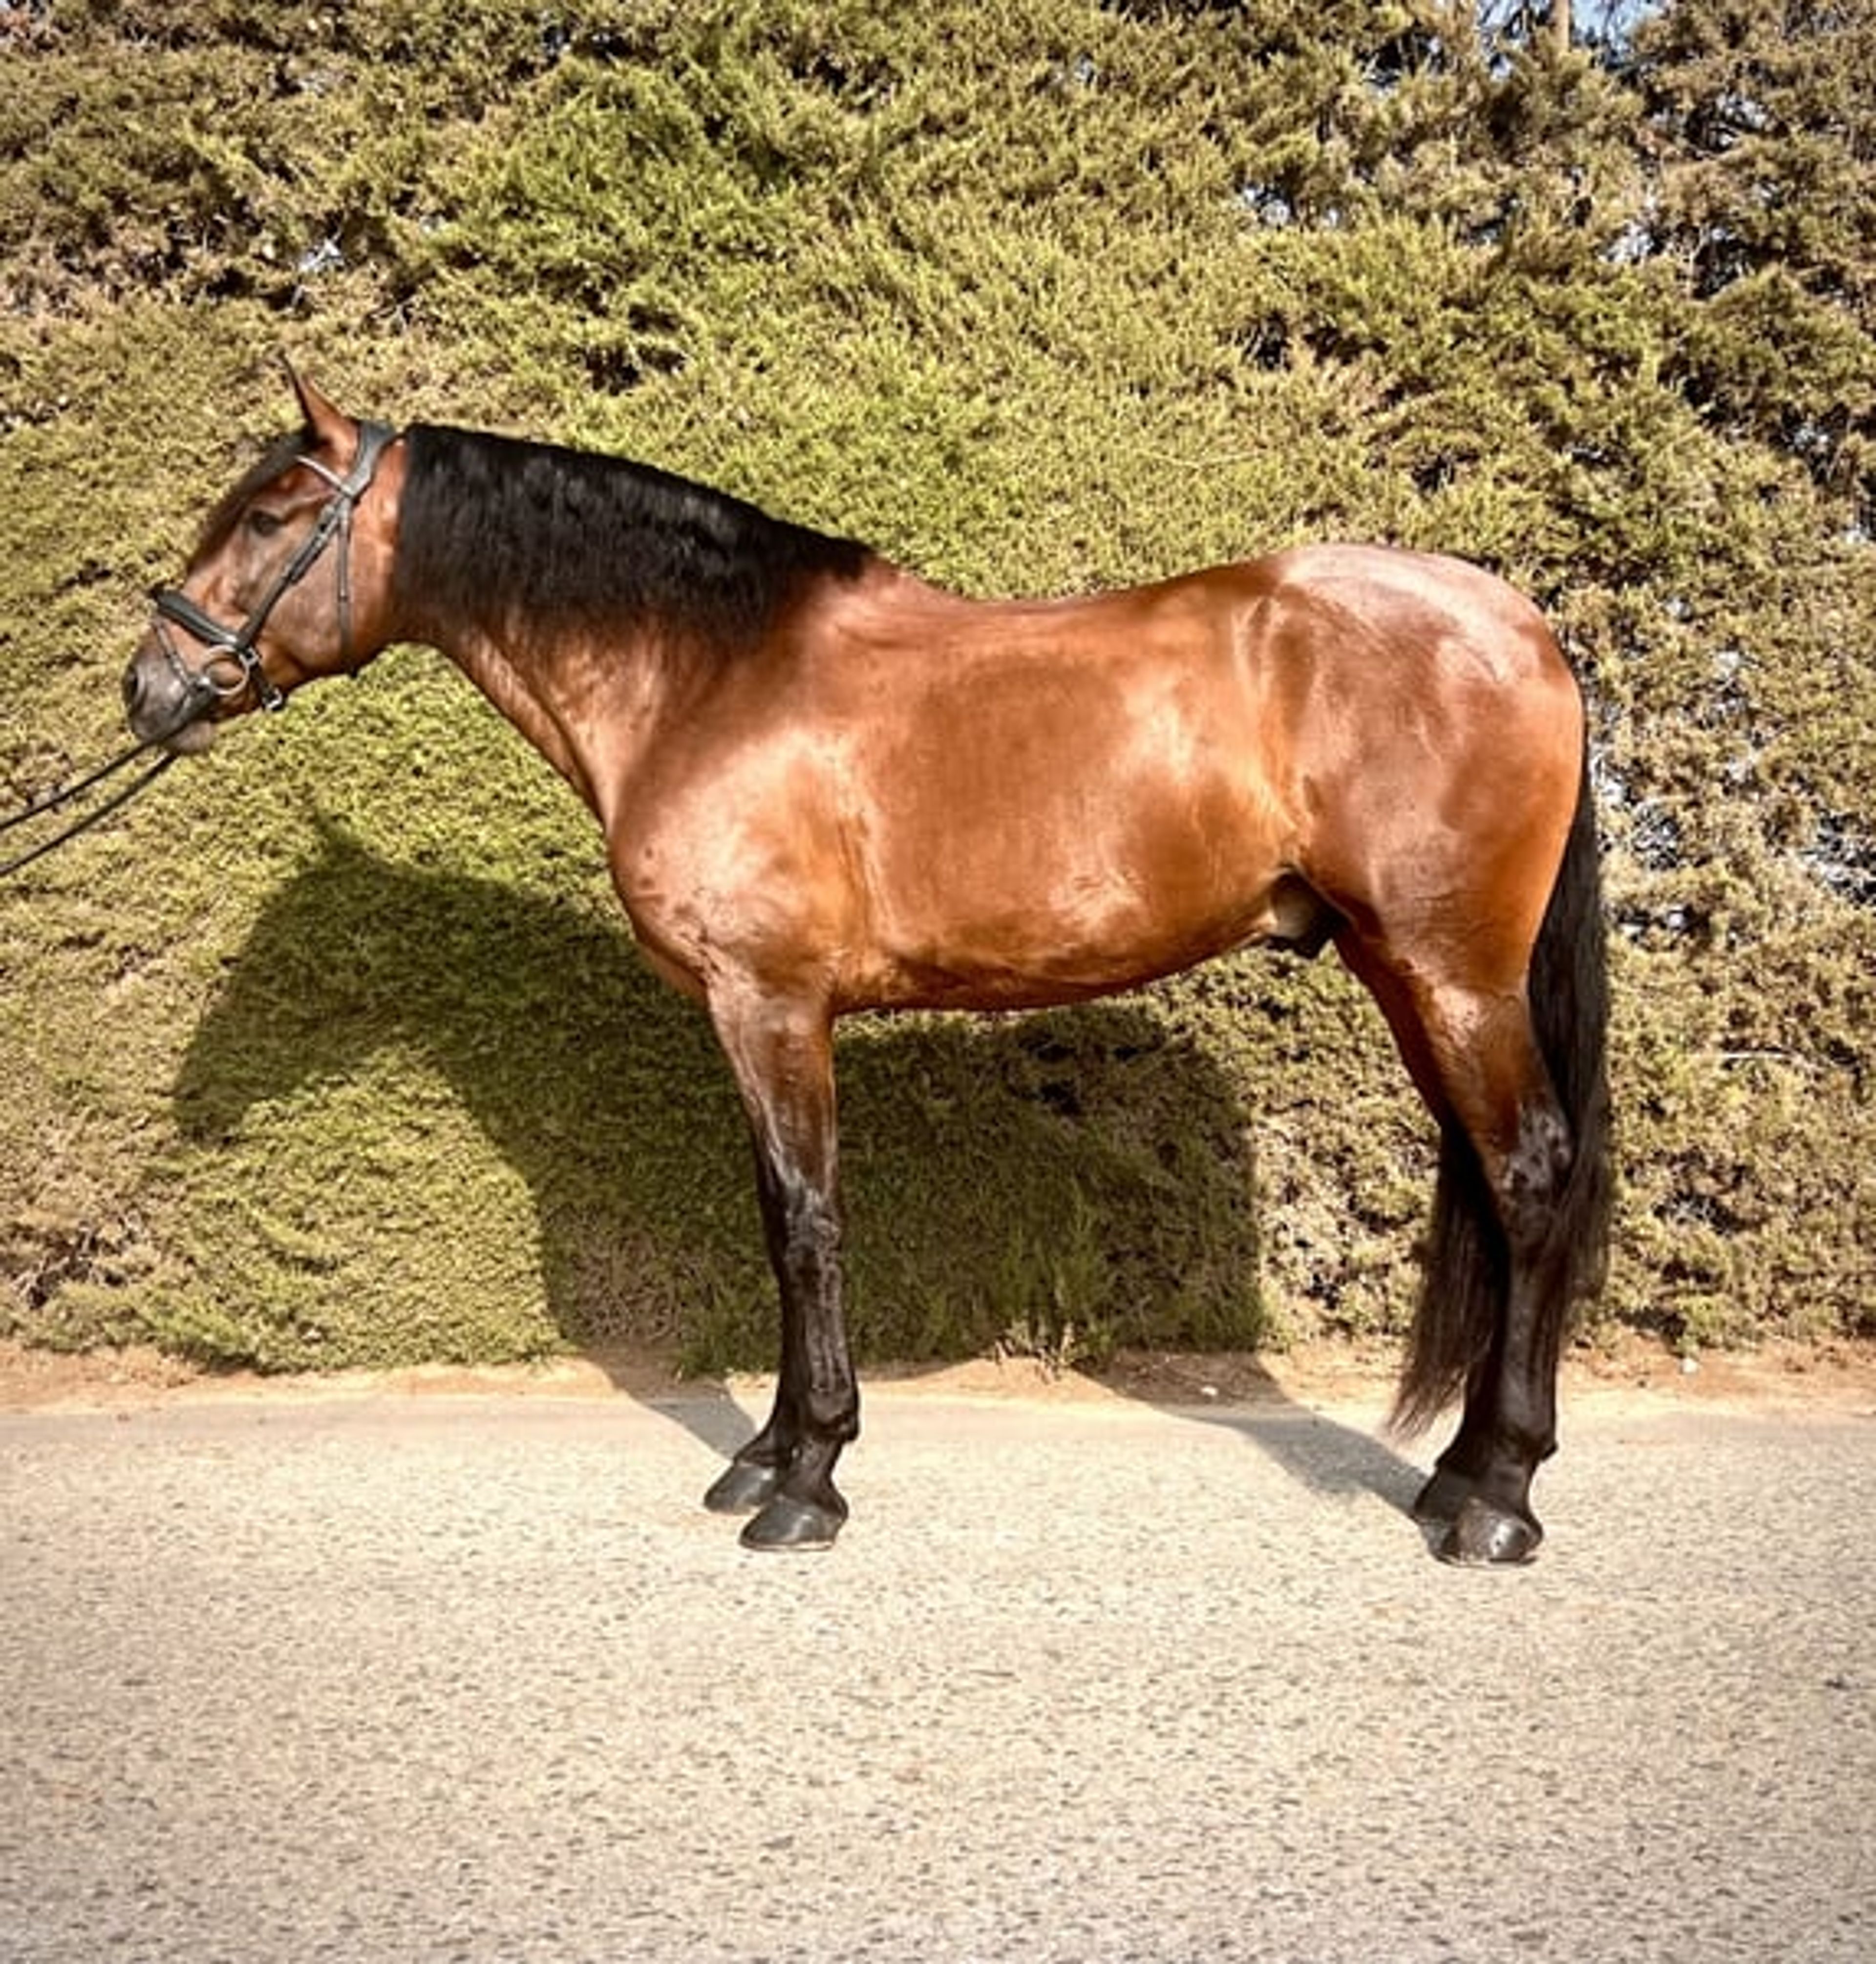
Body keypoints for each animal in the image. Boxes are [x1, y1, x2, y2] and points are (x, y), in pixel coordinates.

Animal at [123, 371, 1611, 1564]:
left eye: (271, 516)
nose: (152, 687)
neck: (707, 676)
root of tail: (1524, 630)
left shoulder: (770, 1002)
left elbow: (803, 1221)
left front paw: (808, 1481)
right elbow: (782, 1220)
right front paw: (767, 1455)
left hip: (1453, 976)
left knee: (1533, 1177)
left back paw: (1497, 1503)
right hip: (1407, 976)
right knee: (1498, 1188)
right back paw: (1454, 1480)